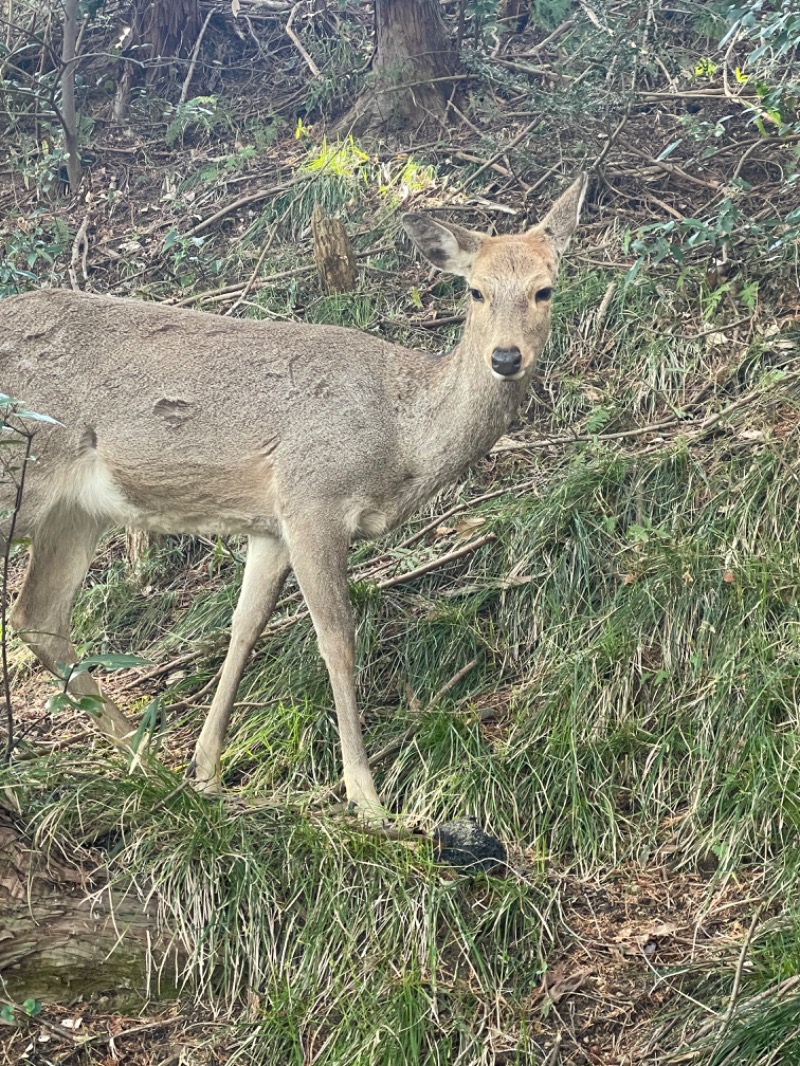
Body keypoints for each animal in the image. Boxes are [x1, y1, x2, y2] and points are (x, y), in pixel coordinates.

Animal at [0, 176, 588, 822]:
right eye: (476, 291)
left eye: (544, 288)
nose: (506, 357)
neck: (399, 440)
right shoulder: (313, 499)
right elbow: (337, 640)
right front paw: (367, 800)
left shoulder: (271, 525)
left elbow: (244, 627)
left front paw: (205, 772)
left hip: (76, 511)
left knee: (38, 616)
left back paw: (145, 759)